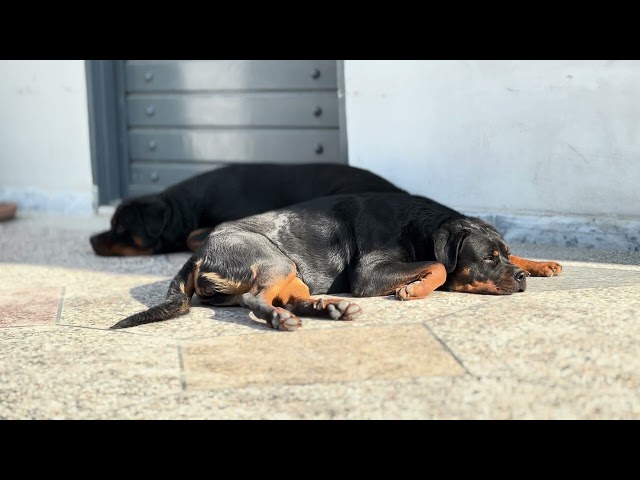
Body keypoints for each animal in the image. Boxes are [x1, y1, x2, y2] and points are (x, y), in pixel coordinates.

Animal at [112, 191, 564, 330]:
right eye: (487, 259)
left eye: (503, 253)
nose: (520, 278)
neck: (420, 226)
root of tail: (196, 255)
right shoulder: (368, 274)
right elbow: (437, 265)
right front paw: (416, 287)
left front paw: (541, 263)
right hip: (273, 259)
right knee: (256, 301)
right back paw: (286, 319)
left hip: (294, 271)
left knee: (285, 297)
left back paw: (328, 308)